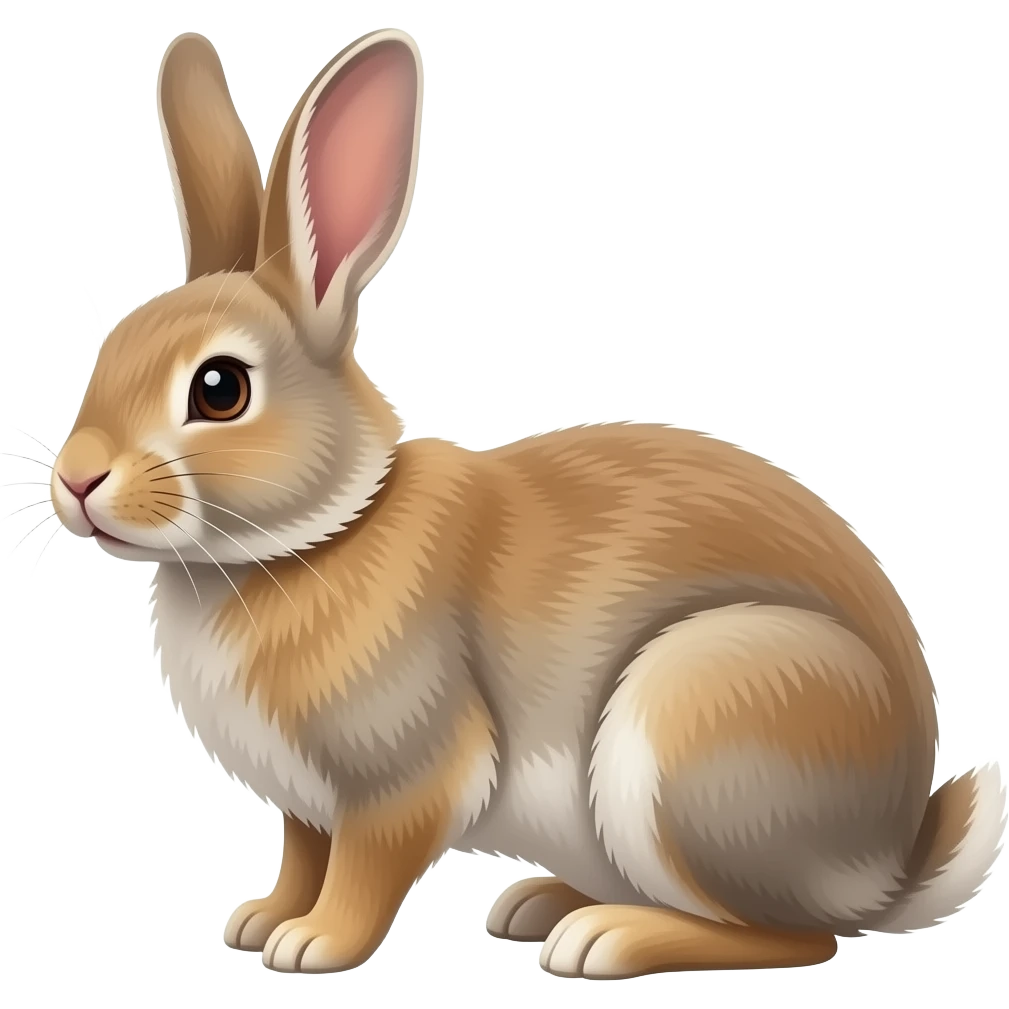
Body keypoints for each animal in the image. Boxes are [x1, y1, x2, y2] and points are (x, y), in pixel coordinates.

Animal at [51, 27, 1006, 979]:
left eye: (220, 389)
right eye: (110, 348)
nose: (76, 480)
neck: (316, 535)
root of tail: (890, 862)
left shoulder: (404, 775)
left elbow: (365, 866)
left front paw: (313, 944)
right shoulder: (307, 805)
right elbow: (302, 854)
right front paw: (259, 920)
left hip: (694, 728)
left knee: (795, 935)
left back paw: (602, 938)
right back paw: (543, 904)